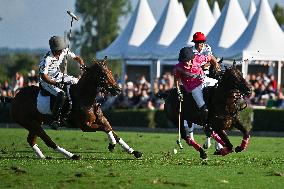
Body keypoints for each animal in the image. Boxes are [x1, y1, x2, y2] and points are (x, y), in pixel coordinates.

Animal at [10, 57, 143, 159]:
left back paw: (42, 156)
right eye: (103, 75)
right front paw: (112, 145)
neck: (85, 98)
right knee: (48, 141)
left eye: (110, 71)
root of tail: (14, 98)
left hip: (35, 122)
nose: (118, 90)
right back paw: (72, 155)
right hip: (31, 123)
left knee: (31, 140)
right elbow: (105, 128)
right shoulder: (85, 126)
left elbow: (111, 130)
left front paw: (134, 152)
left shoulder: (101, 119)